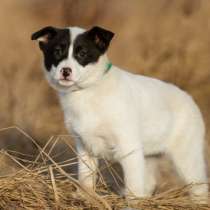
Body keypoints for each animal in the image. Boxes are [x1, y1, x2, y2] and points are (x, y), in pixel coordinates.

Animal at [31, 25, 208, 203]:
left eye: (83, 54)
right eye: (57, 51)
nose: (65, 71)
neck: (88, 91)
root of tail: (189, 99)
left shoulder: (129, 147)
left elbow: (133, 186)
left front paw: (130, 204)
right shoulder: (84, 146)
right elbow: (86, 177)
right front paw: (84, 197)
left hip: (186, 158)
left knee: (200, 187)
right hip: (149, 156)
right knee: (148, 182)